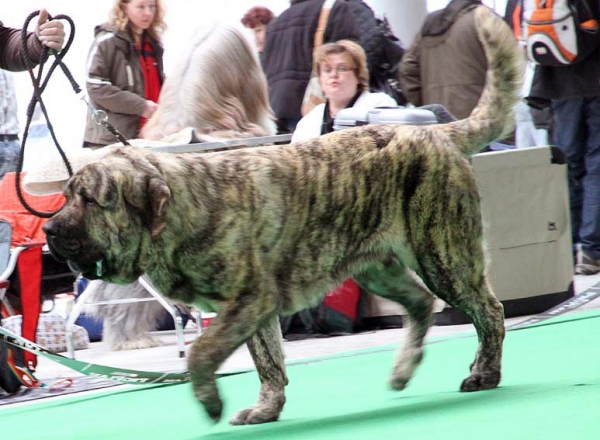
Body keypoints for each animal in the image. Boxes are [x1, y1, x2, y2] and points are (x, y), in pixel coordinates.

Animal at [44, 6, 524, 424]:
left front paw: (210, 400)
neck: (182, 209)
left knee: (489, 311)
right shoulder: (257, 310)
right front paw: (266, 409)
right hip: (378, 267)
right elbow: (269, 361)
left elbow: (202, 351)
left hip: (442, 256)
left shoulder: (249, 299)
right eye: (67, 196)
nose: (49, 228)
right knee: (423, 303)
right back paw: (404, 368)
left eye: (90, 200)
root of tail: (436, 132)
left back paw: (484, 373)